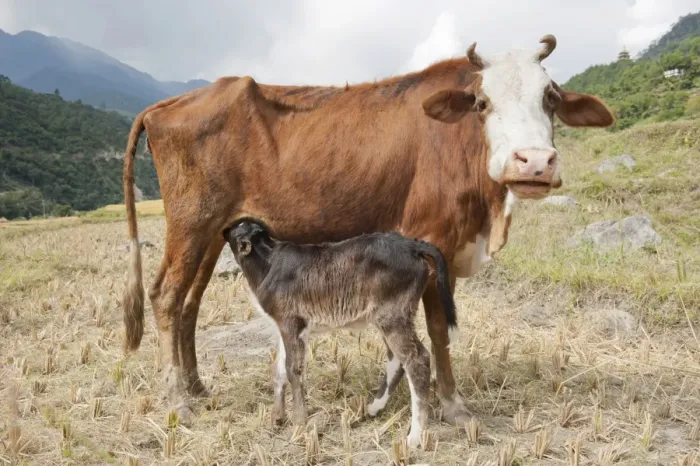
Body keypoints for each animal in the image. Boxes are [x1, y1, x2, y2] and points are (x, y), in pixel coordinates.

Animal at [223, 220, 458, 446]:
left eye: (233, 230)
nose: (223, 230)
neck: (267, 262)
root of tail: (412, 245)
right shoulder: (286, 326)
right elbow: (279, 369)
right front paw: (277, 418)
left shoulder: (290, 322)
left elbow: (293, 370)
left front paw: (299, 425)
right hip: (389, 316)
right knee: (397, 359)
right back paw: (374, 408)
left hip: (392, 315)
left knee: (416, 359)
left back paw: (415, 436)